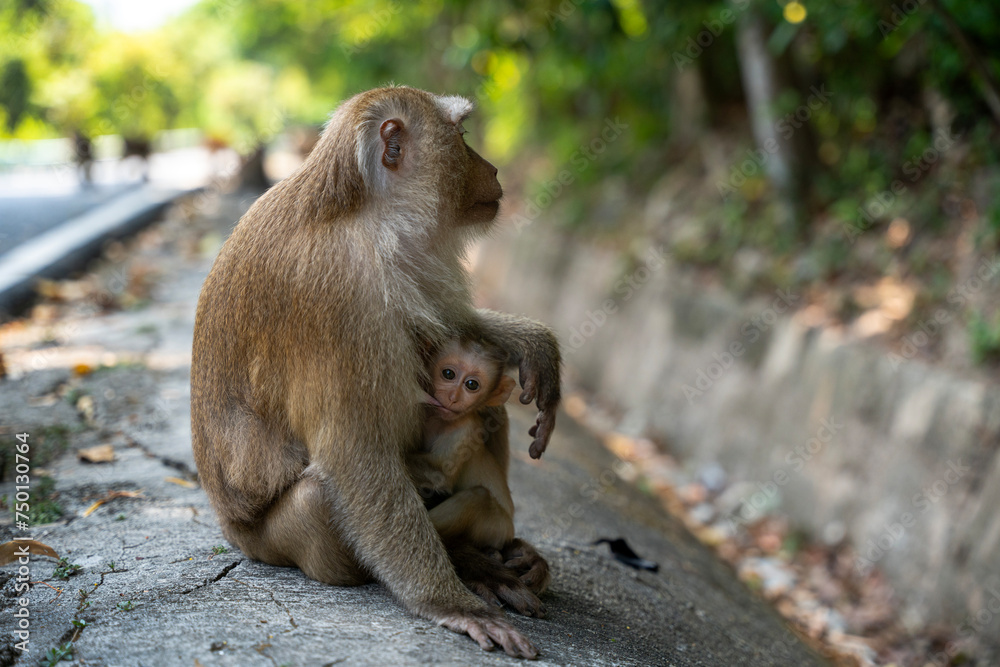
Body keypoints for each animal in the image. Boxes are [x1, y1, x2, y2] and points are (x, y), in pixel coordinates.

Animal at [191, 86, 560, 659]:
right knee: (323, 496)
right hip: (280, 540)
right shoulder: (337, 294)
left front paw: (534, 344)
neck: (359, 213)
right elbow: (354, 453)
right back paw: (471, 563)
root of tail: (232, 532)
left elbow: (453, 326)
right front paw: (449, 603)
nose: (494, 168)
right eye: (462, 136)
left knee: (482, 407)